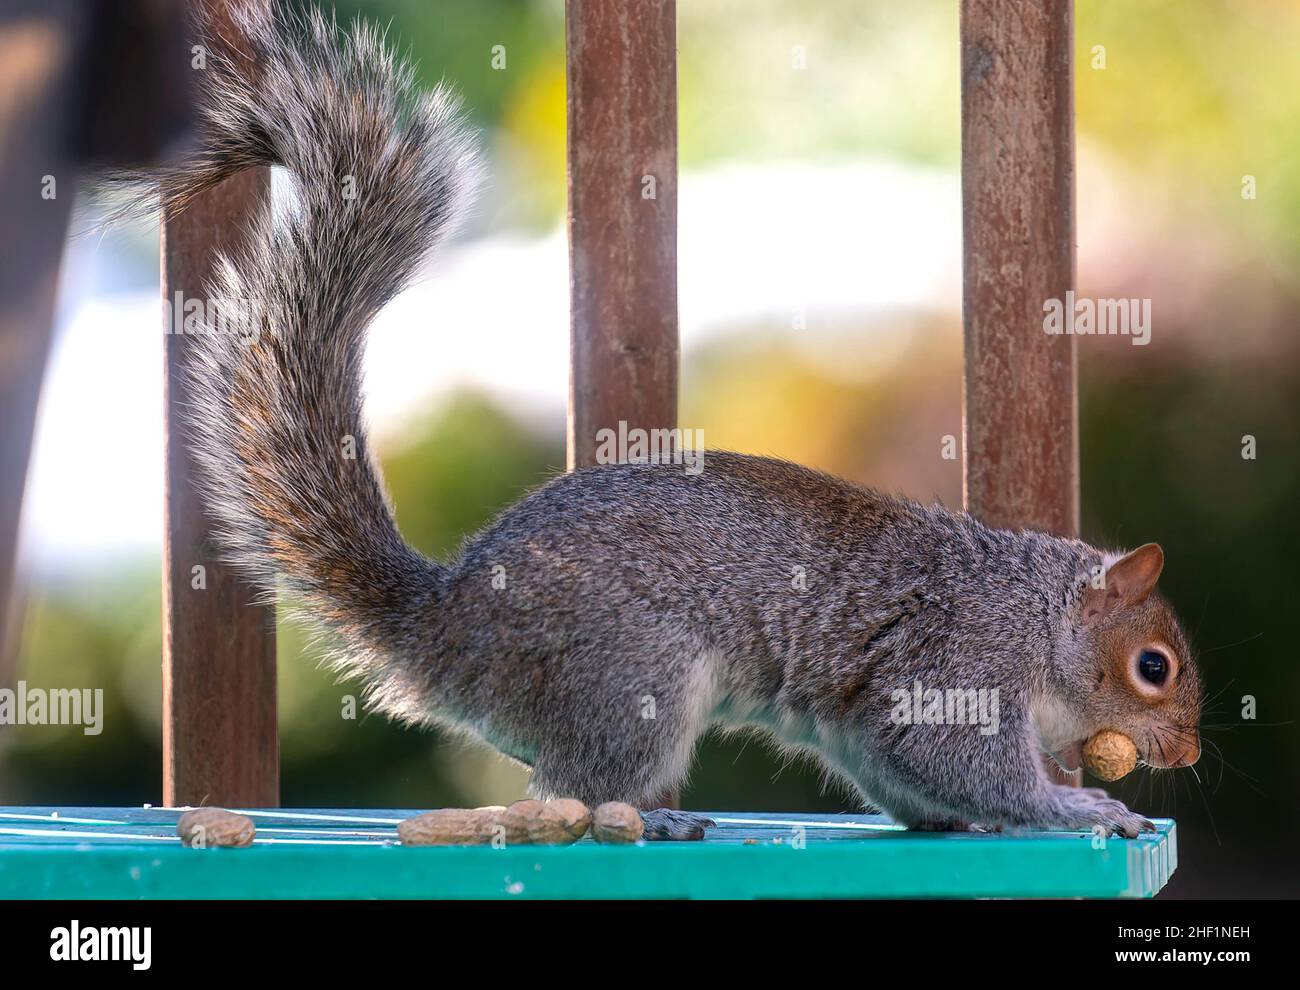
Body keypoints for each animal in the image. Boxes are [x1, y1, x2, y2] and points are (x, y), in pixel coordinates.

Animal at [119, 3, 1203, 840]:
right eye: (1152, 667)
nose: (1189, 752)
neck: (1030, 617)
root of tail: (444, 632)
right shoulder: (955, 666)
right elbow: (955, 757)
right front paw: (1083, 810)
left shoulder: (868, 715)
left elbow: (900, 772)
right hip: (631, 679)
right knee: (577, 789)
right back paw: (655, 816)